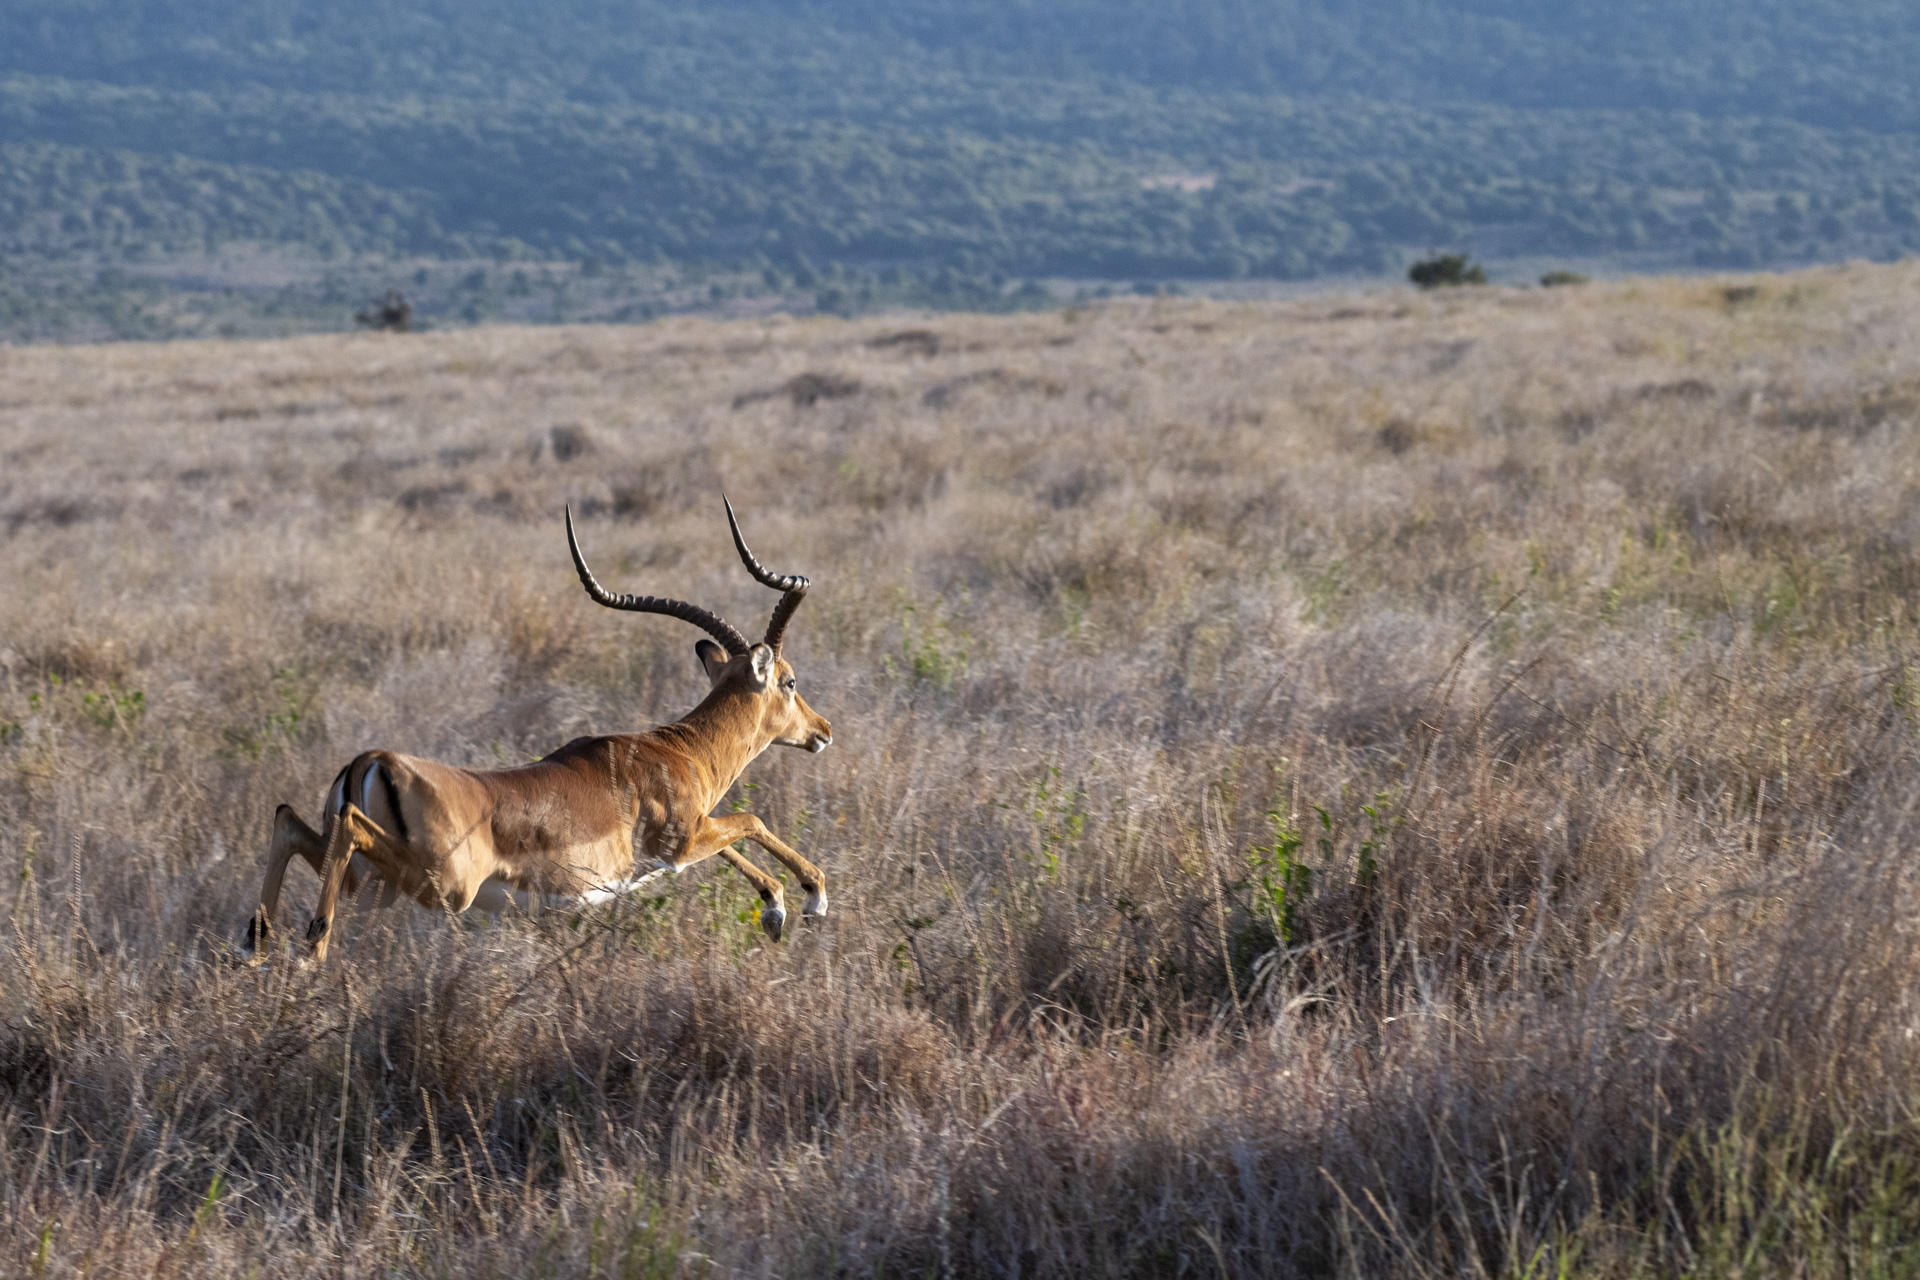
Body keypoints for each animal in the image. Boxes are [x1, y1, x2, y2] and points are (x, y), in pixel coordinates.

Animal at [242, 499, 833, 964]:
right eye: (790, 680)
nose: (822, 730)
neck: (678, 752)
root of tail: (373, 760)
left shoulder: (685, 841)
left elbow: (733, 839)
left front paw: (776, 907)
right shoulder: (682, 839)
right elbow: (751, 820)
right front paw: (805, 901)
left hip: (371, 882)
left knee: (289, 820)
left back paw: (255, 946)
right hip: (440, 883)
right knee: (342, 826)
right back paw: (310, 949)